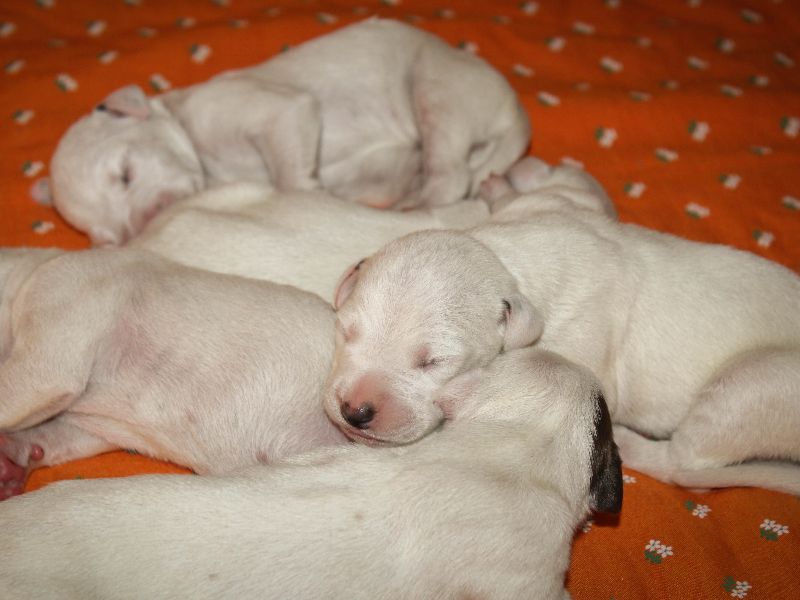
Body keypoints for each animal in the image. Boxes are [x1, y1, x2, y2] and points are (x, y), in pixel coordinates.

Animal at [47, 18, 530, 246]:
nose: (149, 223)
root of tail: (518, 116)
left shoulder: (275, 110)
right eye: (110, 238)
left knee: (449, 173)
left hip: (436, 85)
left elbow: (289, 178)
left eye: (125, 172)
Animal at [326, 157, 800, 495]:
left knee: (684, 463)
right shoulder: (558, 206)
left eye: (434, 361)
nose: (355, 411)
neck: (506, 260)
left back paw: (632, 442)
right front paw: (505, 182)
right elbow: (565, 190)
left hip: (754, 385)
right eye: (346, 332)